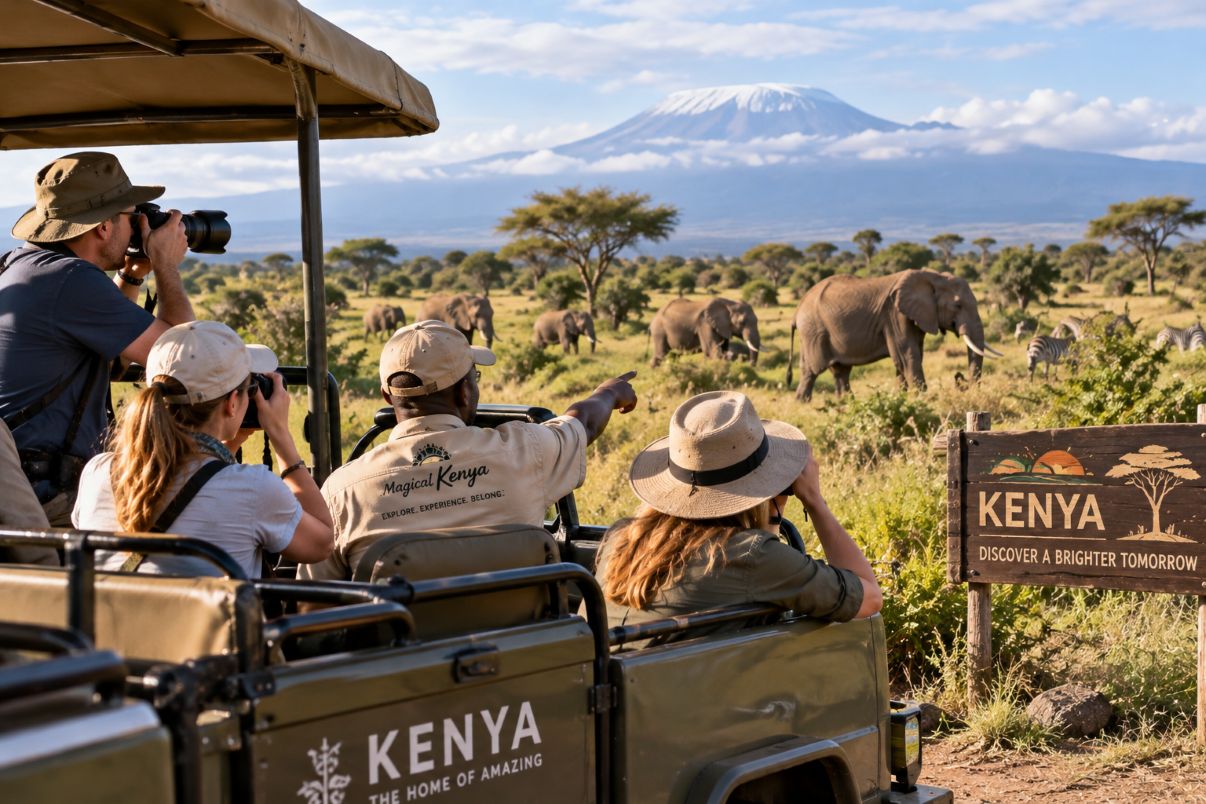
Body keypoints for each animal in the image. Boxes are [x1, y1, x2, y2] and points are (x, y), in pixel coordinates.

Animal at [787, 269, 1002, 401]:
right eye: (957, 305)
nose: (961, 380)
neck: (932, 276)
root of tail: (796, 311)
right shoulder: (895, 314)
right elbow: (907, 354)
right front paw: (921, 396)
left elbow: (906, 357)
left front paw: (903, 396)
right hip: (814, 331)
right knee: (812, 370)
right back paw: (802, 403)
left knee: (841, 371)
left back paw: (845, 403)